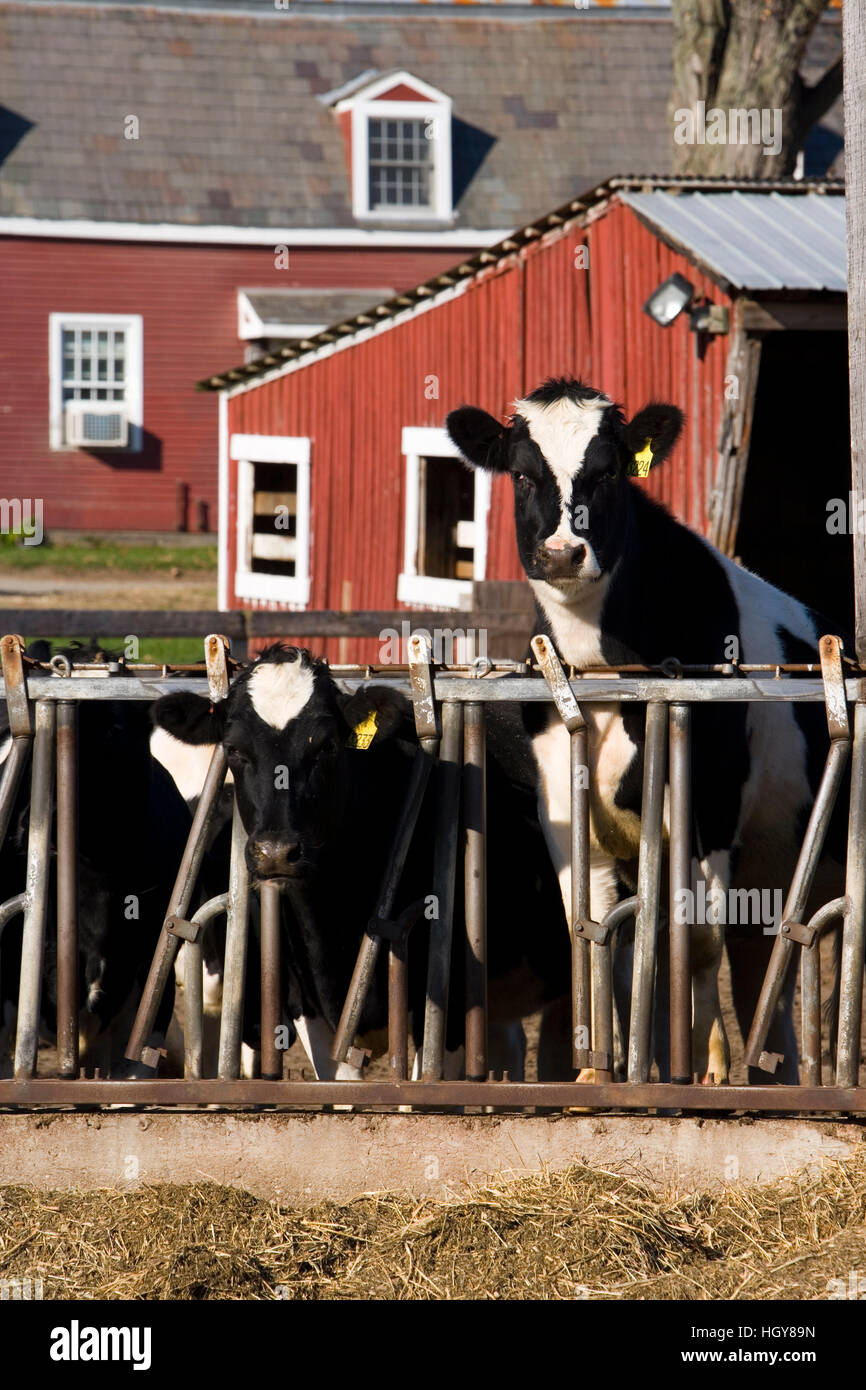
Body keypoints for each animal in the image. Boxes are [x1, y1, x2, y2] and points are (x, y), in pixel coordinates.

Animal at [447, 380, 845, 1084]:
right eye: (521, 473)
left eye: (608, 472)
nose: (562, 553)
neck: (605, 669)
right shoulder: (567, 815)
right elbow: (595, 929)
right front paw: (594, 1074)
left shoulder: (710, 813)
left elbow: (695, 941)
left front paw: (697, 1071)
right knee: (758, 968)